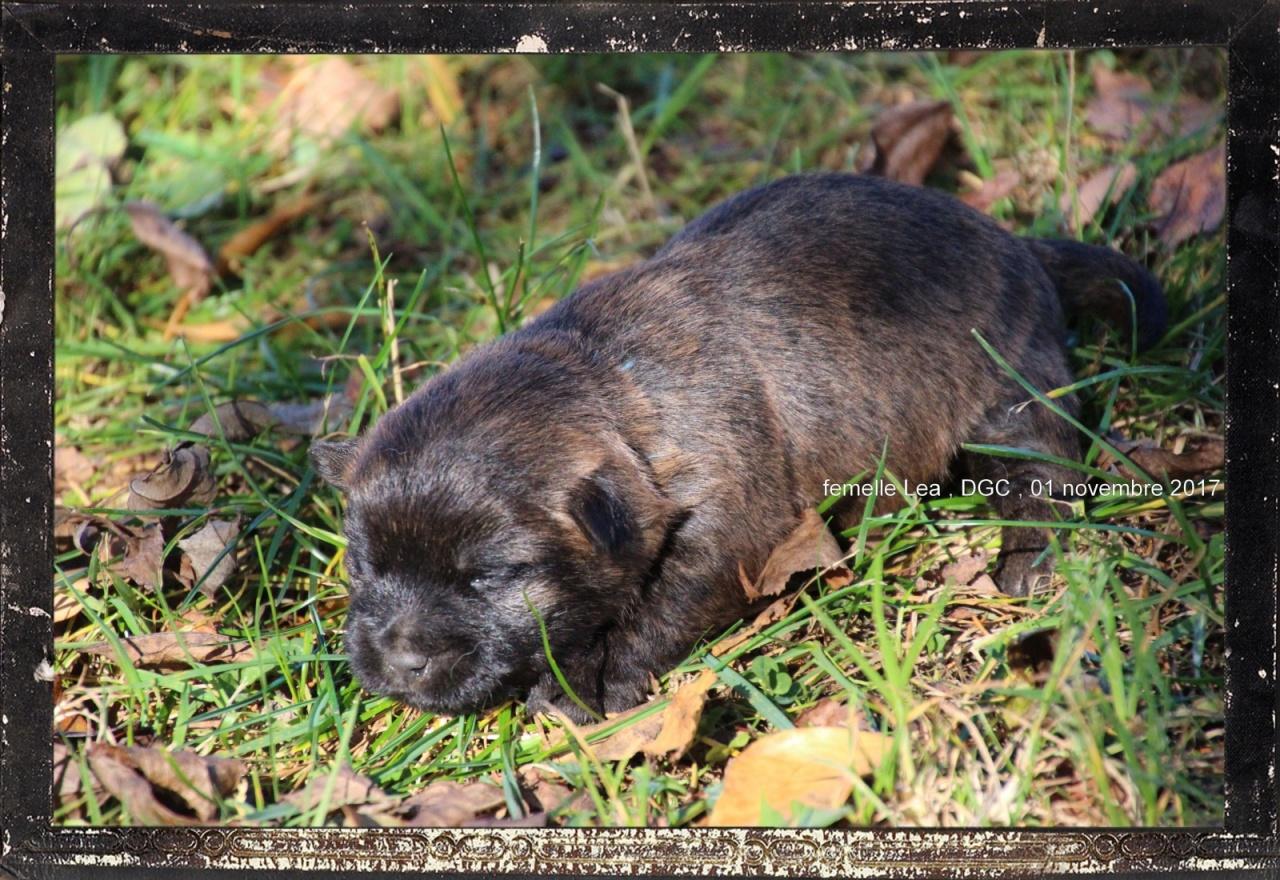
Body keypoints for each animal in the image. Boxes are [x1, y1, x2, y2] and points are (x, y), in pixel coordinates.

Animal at [307, 173, 1162, 721]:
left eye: (486, 578)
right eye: (366, 567)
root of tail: (1015, 241)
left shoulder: (732, 523)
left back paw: (1029, 558)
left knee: (1043, 467)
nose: (399, 663)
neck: (619, 389)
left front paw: (594, 679)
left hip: (1009, 390)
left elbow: (662, 604)